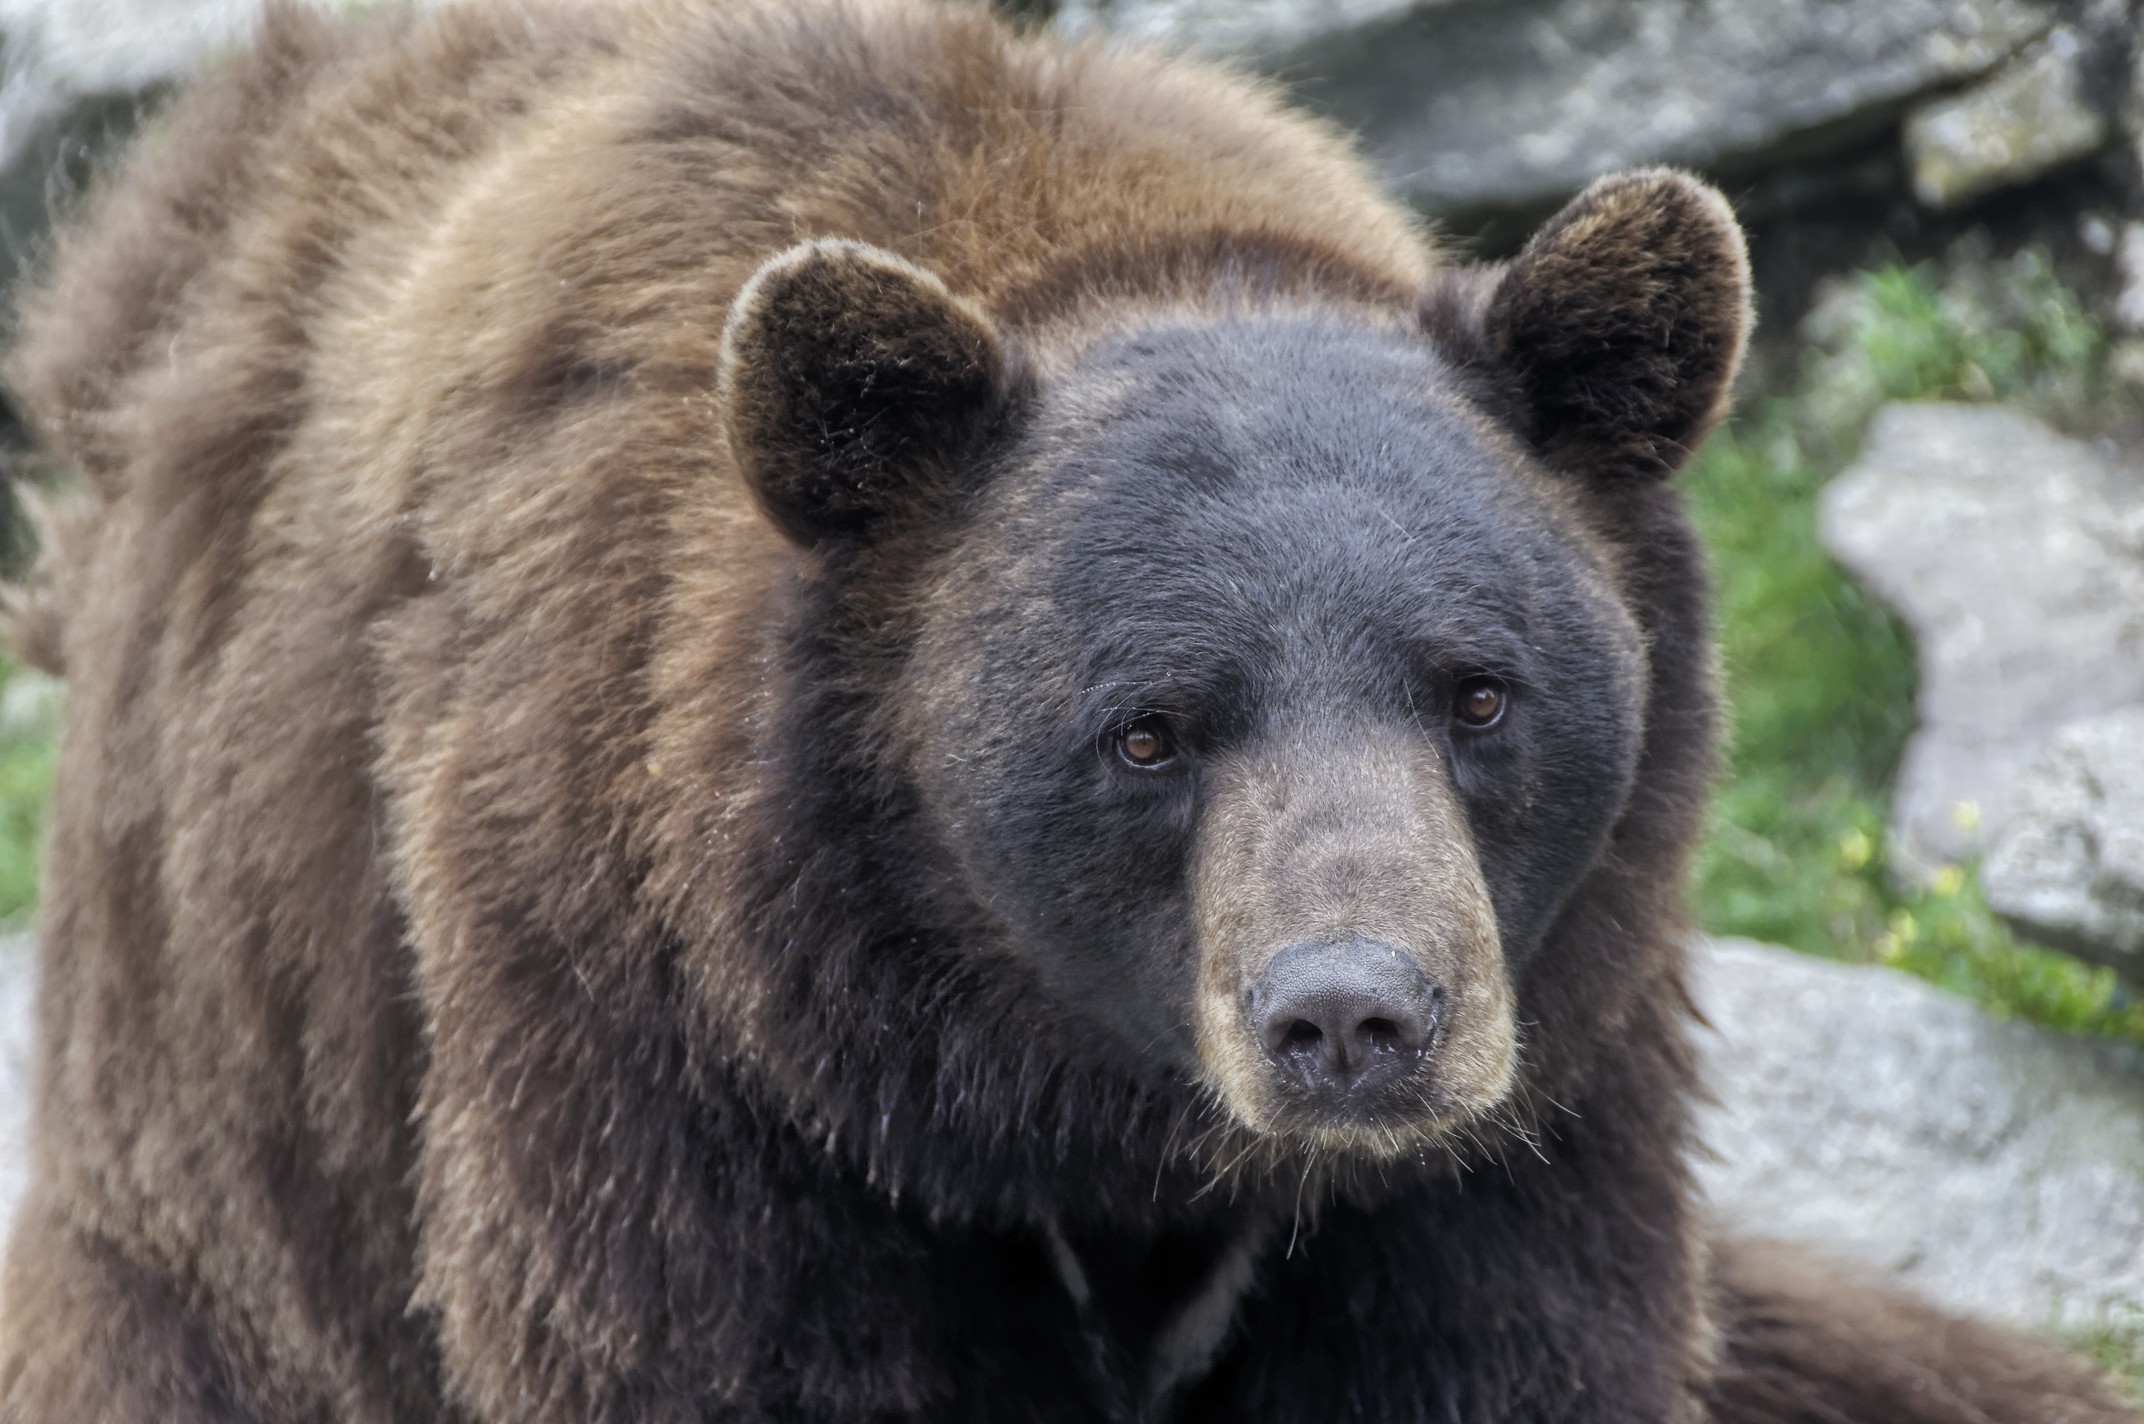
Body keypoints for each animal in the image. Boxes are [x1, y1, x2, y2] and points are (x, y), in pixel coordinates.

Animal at [0, 0, 2134, 1421]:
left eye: (1476, 688)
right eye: (1146, 724)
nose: (1352, 1018)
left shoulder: (1531, 1095)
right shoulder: (655, 1050)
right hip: (235, 1142)